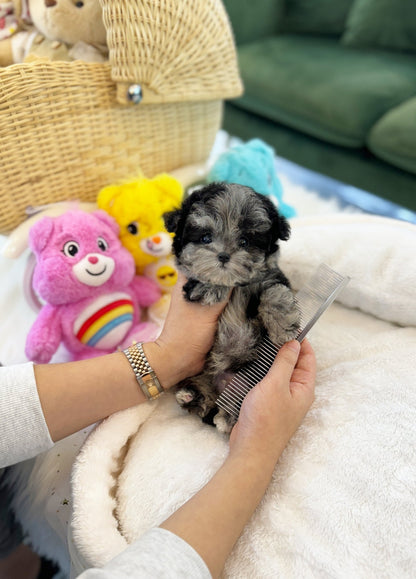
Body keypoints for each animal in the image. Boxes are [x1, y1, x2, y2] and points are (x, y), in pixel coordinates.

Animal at [163, 184, 300, 432]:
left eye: (245, 241)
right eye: (205, 238)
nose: (224, 256)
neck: (235, 285)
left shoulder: (272, 278)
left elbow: (274, 292)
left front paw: (283, 323)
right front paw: (210, 286)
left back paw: (226, 416)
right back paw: (193, 396)